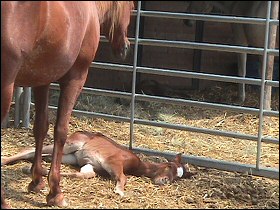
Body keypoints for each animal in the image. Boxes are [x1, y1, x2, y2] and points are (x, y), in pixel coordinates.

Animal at [1, 131, 195, 197]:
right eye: (169, 166)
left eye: (177, 177)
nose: (165, 181)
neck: (135, 164)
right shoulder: (113, 162)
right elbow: (123, 178)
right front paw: (119, 191)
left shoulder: (91, 165)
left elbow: (85, 174)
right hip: (72, 144)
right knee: (30, 149)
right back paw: (6, 161)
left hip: (71, 157)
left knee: (45, 156)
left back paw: (32, 167)